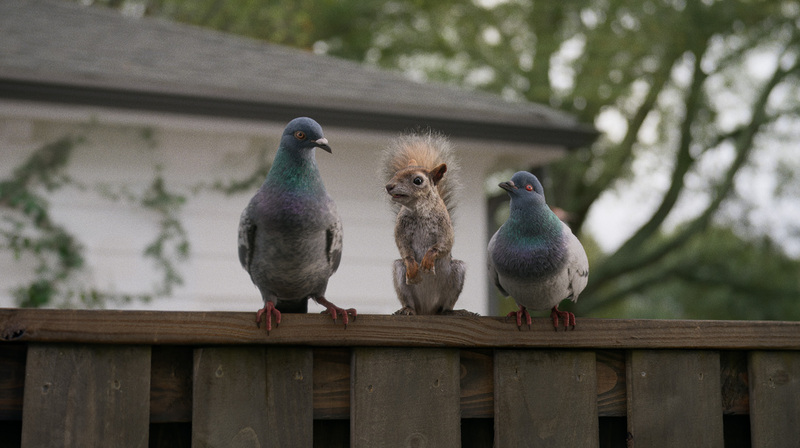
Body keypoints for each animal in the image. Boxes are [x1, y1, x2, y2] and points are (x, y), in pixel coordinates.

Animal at [382, 131, 471, 315]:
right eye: (397, 173)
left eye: (418, 180)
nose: (389, 186)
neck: (419, 210)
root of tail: (427, 309)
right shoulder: (401, 228)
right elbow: (403, 245)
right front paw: (412, 264)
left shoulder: (445, 226)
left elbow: (445, 243)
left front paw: (428, 259)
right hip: (400, 273)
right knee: (408, 299)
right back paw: (407, 309)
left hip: (457, 273)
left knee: (445, 306)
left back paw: (451, 312)